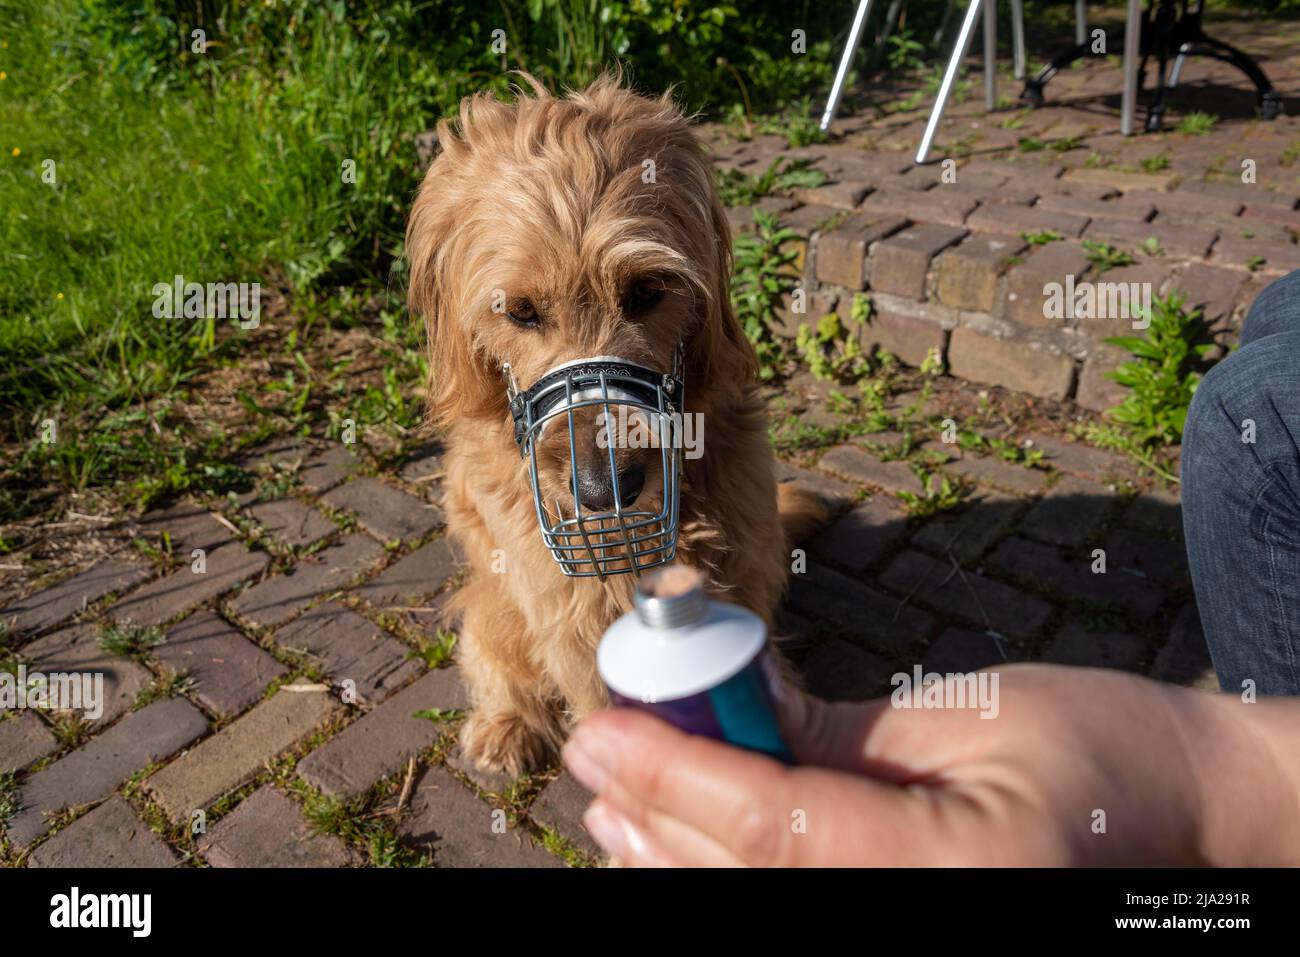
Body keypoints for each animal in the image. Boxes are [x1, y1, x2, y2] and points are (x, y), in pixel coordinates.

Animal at [405, 74, 816, 780]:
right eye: (520, 311)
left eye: (648, 289)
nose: (605, 493)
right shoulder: (570, 613)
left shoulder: (745, 565)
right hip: (493, 610)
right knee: (497, 662)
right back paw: (506, 725)